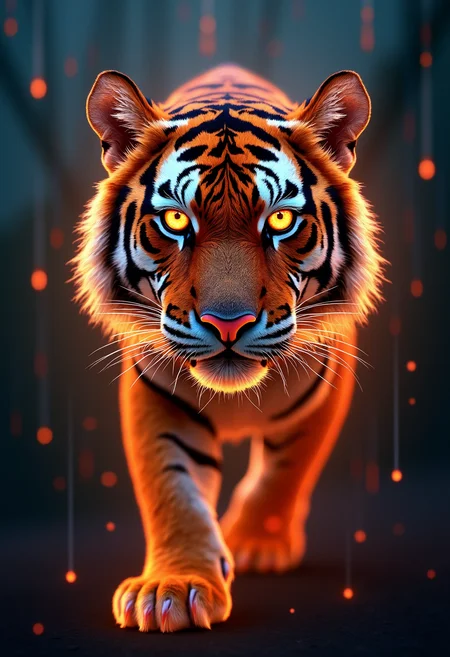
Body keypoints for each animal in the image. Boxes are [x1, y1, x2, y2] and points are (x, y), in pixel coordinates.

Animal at [73, 64, 384, 633]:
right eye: (176, 221)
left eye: (280, 221)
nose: (228, 322)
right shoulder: (157, 396)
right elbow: (172, 490)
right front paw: (170, 589)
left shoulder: (325, 384)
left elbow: (288, 466)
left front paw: (258, 543)